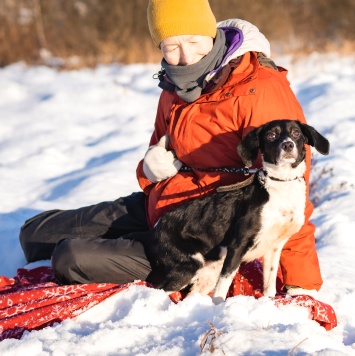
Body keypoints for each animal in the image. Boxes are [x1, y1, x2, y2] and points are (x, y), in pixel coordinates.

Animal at [143, 119, 330, 304]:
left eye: (296, 133)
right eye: (271, 135)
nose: (288, 145)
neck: (281, 184)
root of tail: (156, 227)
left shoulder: (274, 247)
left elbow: (269, 286)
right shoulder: (237, 246)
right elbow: (222, 288)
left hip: (208, 270)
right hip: (188, 265)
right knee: (158, 289)